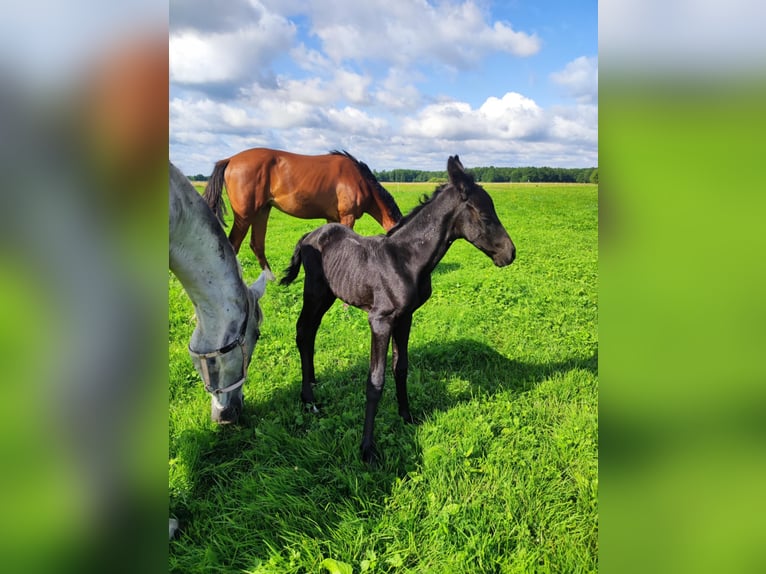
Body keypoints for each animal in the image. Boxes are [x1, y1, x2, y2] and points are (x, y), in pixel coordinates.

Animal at [203, 148, 403, 278]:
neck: (358, 179)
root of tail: (230, 160)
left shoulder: (331, 218)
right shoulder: (348, 217)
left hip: (262, 212)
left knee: (257, 244)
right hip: (245, 216)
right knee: (233, 245)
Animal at [280, 155, 516, 463]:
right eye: (485, 216)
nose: (509, 254)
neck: (405, 260)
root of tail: (309, 234)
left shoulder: (405, 317)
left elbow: (400, 367)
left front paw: (406, 416)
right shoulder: (380, 321)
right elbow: (375, 381)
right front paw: (367, 449)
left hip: (329, 295)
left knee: (310, 332)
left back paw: (314, 384)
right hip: (315, 292)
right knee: (303, 331)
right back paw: (308, 400)